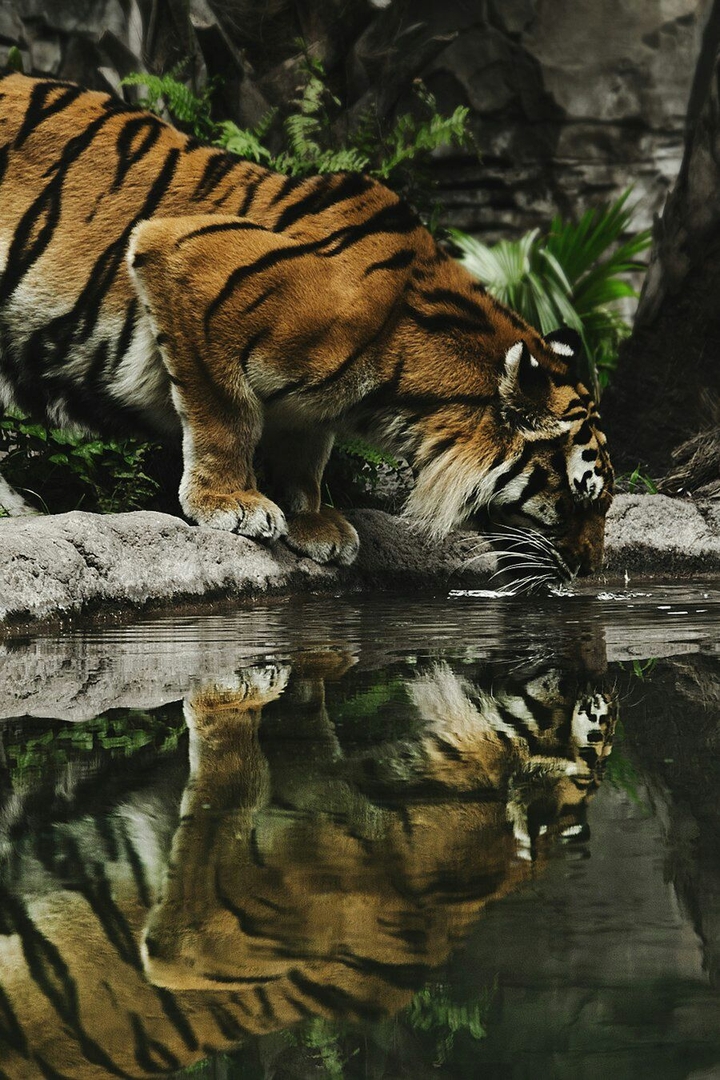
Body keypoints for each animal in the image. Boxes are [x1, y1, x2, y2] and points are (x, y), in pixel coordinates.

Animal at [0, 73, 613, 573]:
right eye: (574, 500)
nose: (590, 572)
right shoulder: (184, 256)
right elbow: (227, 416)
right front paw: (231, 503)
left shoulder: (312, 407)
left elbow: (304, 455)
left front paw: (314, 523)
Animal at [0, 654, 615, 1078]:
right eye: (596, 713)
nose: (601, 669)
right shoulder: (313, 771)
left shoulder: (195, 940)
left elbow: (229, 781)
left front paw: (233, 695)